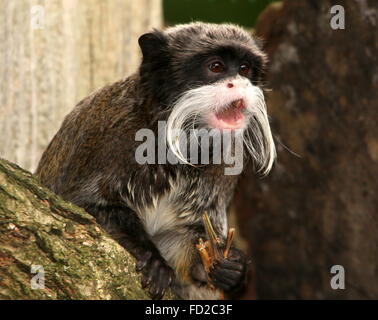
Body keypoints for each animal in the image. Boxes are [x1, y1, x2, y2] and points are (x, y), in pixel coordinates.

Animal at [35, 22, 276, 300]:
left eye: (244, 69)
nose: (239, 84)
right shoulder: (110, 135)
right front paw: (152, 258)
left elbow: (191, 232)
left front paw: (231, 268)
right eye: (216, 67)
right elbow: (83, 206)